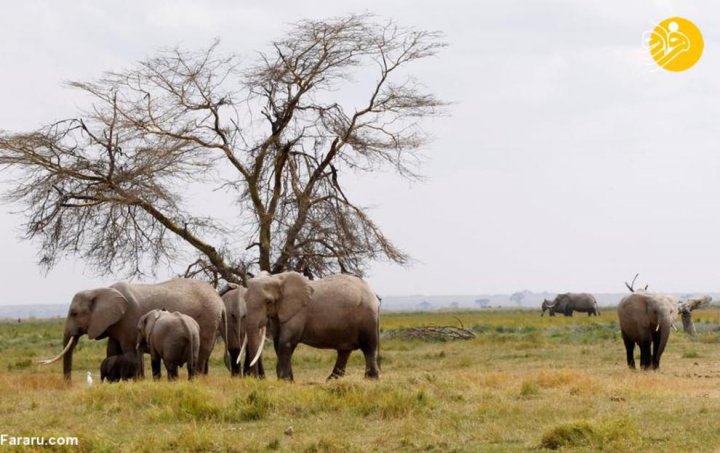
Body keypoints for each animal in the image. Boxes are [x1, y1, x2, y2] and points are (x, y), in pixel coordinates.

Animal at [40, 278, 225, 378]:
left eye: (74, 313)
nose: (68, 384)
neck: (100, 291)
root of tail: (219, 300)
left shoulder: (129, 319)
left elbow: (129, 350)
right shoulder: (114, 324)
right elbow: (112, 350)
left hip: (207, 322)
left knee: (200, 356)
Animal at [243, 270, 380, 380]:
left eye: (268, 302)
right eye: (244, 299)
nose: (256, 378)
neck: (277, 278)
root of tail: (373, 294)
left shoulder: (298, 312)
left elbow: (286, 343)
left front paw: (284, 380)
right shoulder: (278, 315)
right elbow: (277, 344)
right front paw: (288, 381)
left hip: (368, 317)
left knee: (368, 347)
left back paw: (370, 379)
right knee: (344, 350)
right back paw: (331, 380)